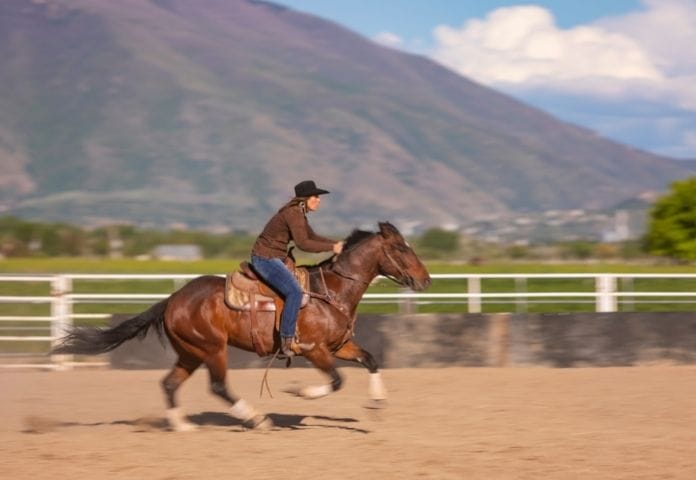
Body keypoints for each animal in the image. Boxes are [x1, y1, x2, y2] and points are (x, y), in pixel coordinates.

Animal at [53, 222, 430, 432]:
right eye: (401, 248)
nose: (425, 279)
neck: (330, 291)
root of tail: (172, 300)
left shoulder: (340, 347)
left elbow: (371, 360)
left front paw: (377, 402)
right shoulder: (315, 351)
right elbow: (337, 381)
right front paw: (299, 392)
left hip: (190, 353)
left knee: (170, 383)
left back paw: (183, 426)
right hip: (212, 350)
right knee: (219, 386)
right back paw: (257, 419)